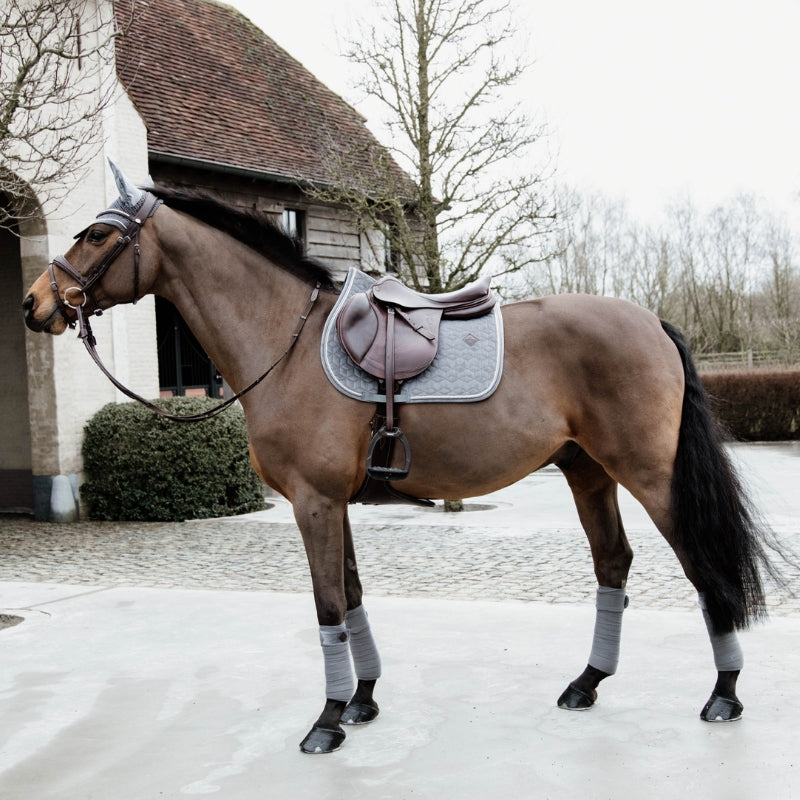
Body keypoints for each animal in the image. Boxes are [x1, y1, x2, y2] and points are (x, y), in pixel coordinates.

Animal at [21, 166, 784, 752]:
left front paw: (327, 721)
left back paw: (724, 694)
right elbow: (354, 596)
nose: (34, 302)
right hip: (587, 472)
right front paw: (361, 699)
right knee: (613, 566)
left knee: (701, 564)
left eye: (97, 234)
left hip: (648, 475)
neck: (287, 344)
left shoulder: (314, 503)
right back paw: (587, 683)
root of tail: (651, 321)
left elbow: (328, 604)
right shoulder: (332, 504)